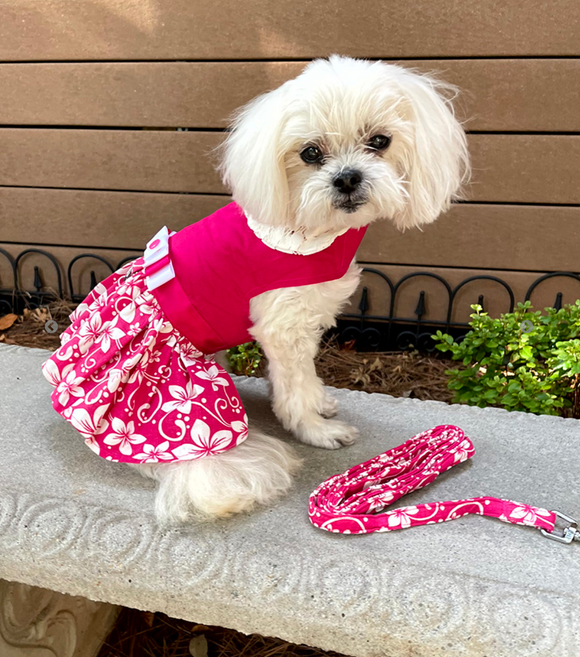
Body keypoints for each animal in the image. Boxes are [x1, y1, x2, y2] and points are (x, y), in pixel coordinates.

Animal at [137, 53, 472, 520]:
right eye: (310, 152)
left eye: (380, 140)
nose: (347, 178)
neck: (307, 229)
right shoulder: (283, 325)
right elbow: (294, 388)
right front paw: (315, 429)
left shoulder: (305, 319)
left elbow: (301, 378)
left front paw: (319, 403)